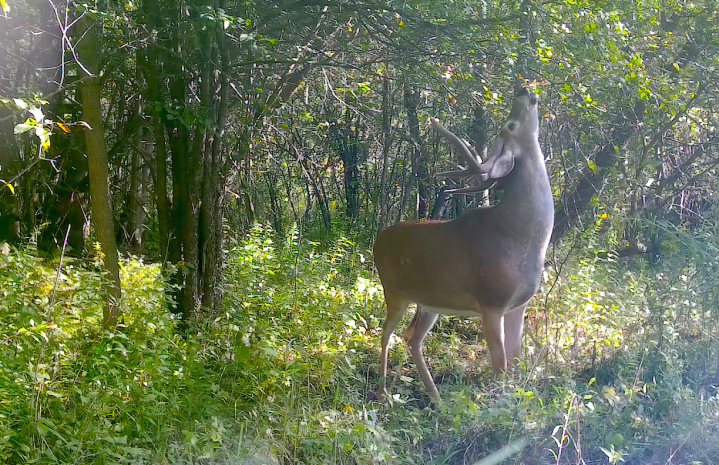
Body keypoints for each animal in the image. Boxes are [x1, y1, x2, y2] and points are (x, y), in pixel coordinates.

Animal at [374, 89, 556, 400]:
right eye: (510, 125)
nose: (524, 91)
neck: (521, 238)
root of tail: (377, 239)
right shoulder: (491, 302)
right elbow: (500, 364)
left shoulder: (518, 305)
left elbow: (515, 359)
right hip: (393, 290)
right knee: (385, 334)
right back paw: (383, 392)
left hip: (430, 301)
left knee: (411, 337)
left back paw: (436, 398)